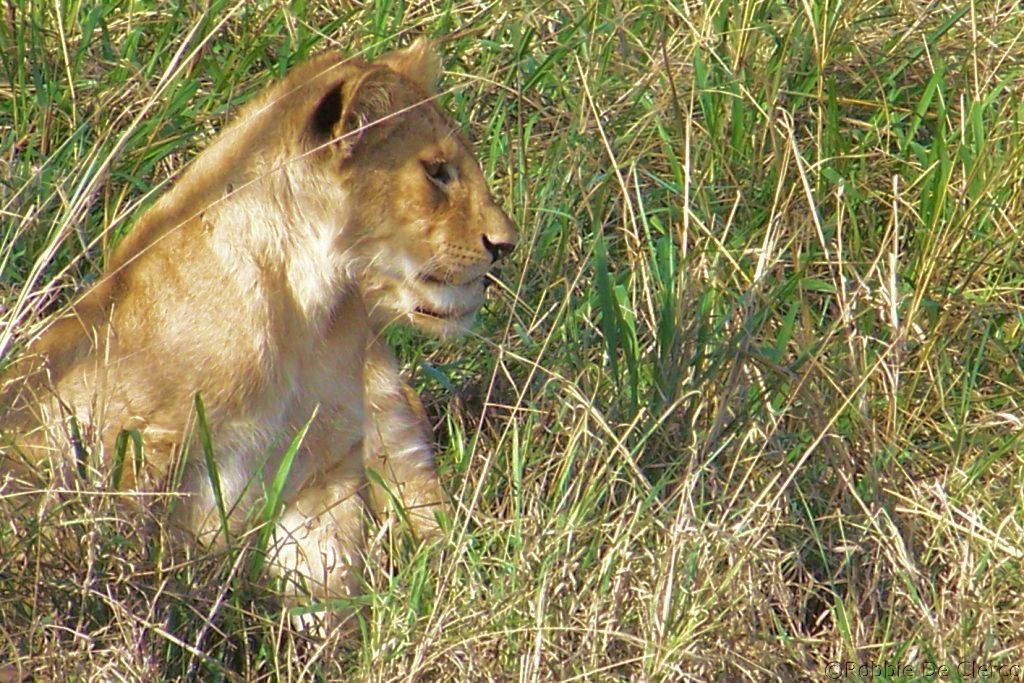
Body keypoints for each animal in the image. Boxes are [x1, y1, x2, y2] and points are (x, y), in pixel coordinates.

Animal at [0, 38, 517, 630]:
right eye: (436, 172)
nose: (505, 245)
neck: (309, 315)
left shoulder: (325, 472)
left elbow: (326, 583)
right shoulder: (130, 446)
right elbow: (137, 564)